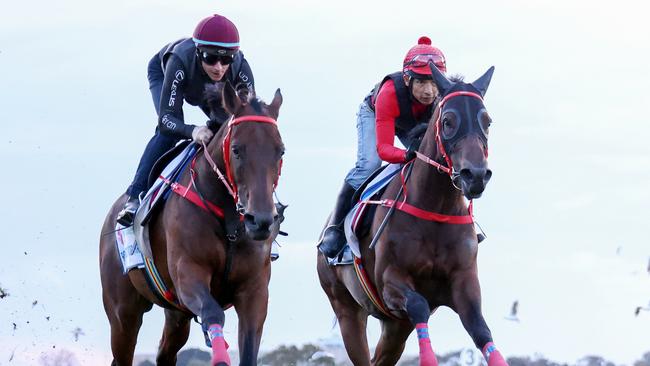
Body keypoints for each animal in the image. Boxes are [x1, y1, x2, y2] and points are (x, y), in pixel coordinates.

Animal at [99, 83, 284, 366]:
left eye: (281, 150)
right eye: (236, 149)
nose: (261, 220)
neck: (229, 220)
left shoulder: (255, 289)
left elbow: (249, 344)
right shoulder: (188, 272)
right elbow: (212, 312)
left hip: (177, 313)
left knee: (165, 353)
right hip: (123, 313)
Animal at [316, 64, 508, 364]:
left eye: (487, 121)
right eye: (448, 121)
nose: (475, 175)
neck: (436, 210)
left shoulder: (464, 283)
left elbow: (480, 328)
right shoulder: (390, 282)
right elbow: (418, 304)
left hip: (395, 326)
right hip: (347, 309)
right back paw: (332, 239)